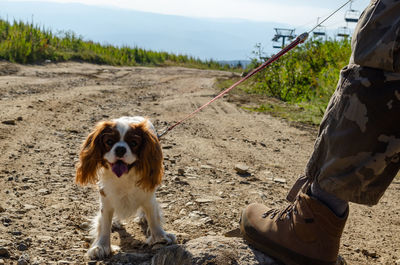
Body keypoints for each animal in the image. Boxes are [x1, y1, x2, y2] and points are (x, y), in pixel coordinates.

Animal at [75, 115, 175, 258]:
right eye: (109, 141)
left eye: (133, 143)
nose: (120, 149)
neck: (123, 177)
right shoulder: (106, 199)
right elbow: (104, 224)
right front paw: (101, 246)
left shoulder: (149, 197)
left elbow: (153, 217)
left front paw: (160, 237)